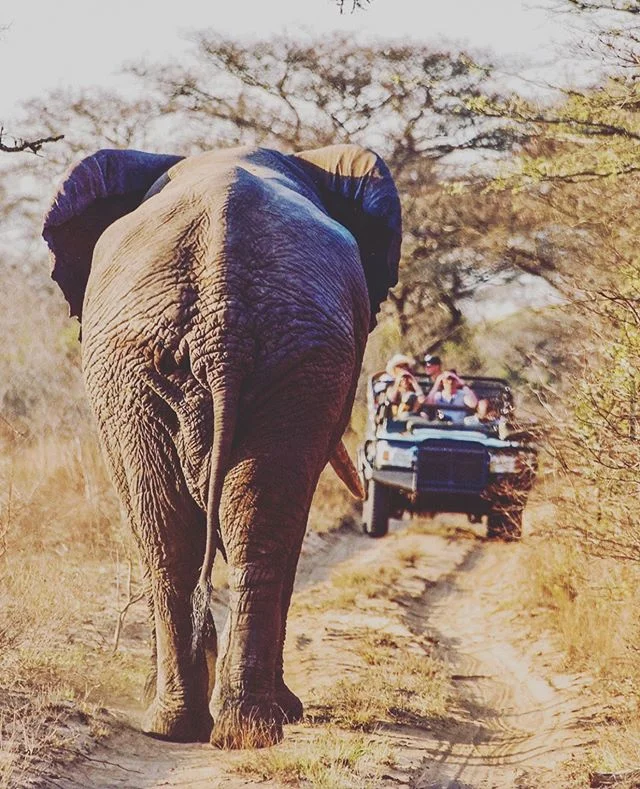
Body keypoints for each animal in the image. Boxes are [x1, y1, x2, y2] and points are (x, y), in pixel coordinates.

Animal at [43, 143, 402, 748]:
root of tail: (221, 311)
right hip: (150, 364)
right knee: (209, 537)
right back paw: (215, 727)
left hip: (274, 357)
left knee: (203, 536)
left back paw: (219, 728)